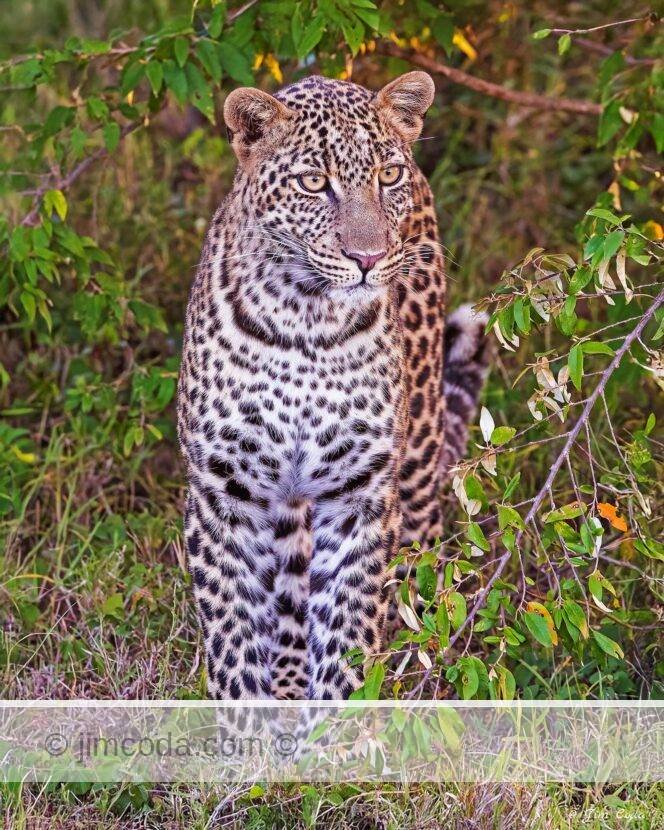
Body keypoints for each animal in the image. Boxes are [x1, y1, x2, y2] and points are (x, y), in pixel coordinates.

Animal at [177, 71, 489, 701]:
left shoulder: (358, 494)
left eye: (386, 176)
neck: (306, 319)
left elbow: (349, 636)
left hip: (419, 448)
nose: (369, 258)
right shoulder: (223, 495)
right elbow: (233, 645)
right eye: (314, 183)